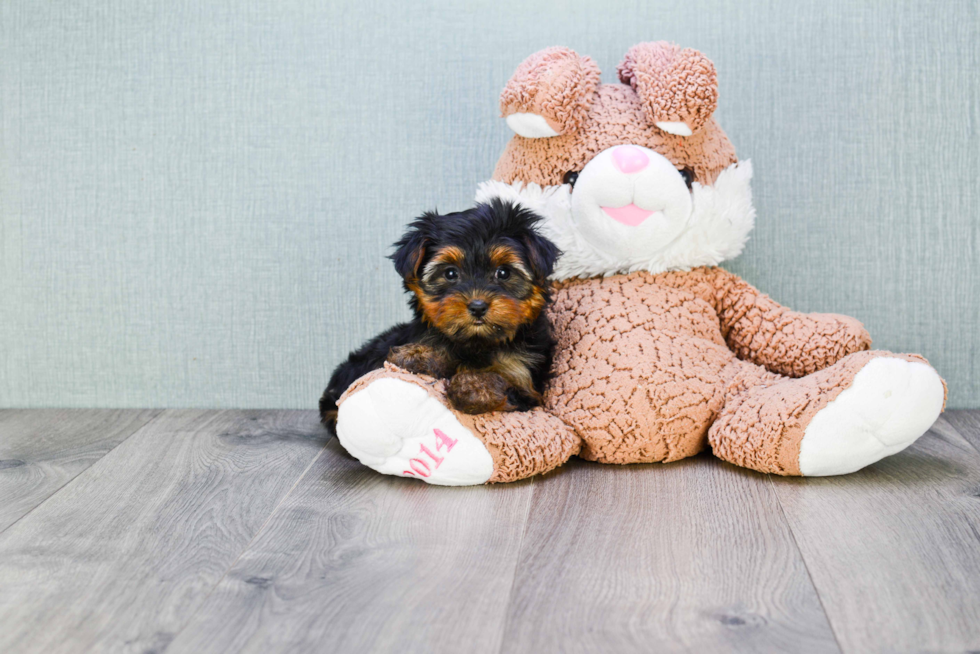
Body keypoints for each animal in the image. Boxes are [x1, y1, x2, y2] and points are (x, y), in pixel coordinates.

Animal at [322, 200, 560, 436]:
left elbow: (503, 380)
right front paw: (417, 355)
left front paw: (473, 386)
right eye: (450, 273)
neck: (476, 342)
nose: (478, 306)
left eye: (503, 273)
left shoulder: (525, 381)